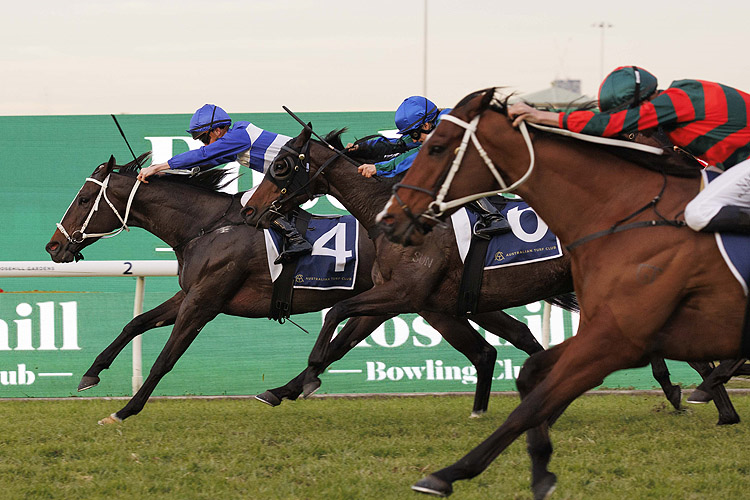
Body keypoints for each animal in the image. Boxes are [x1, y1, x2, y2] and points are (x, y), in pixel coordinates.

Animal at [382, 88, 750, 498]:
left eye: (437, 148)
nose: (391, 218)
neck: (628, 216)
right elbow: (531, 375)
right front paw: (539, 456)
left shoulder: (616, 338)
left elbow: (532, 399)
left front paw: (451, 472)